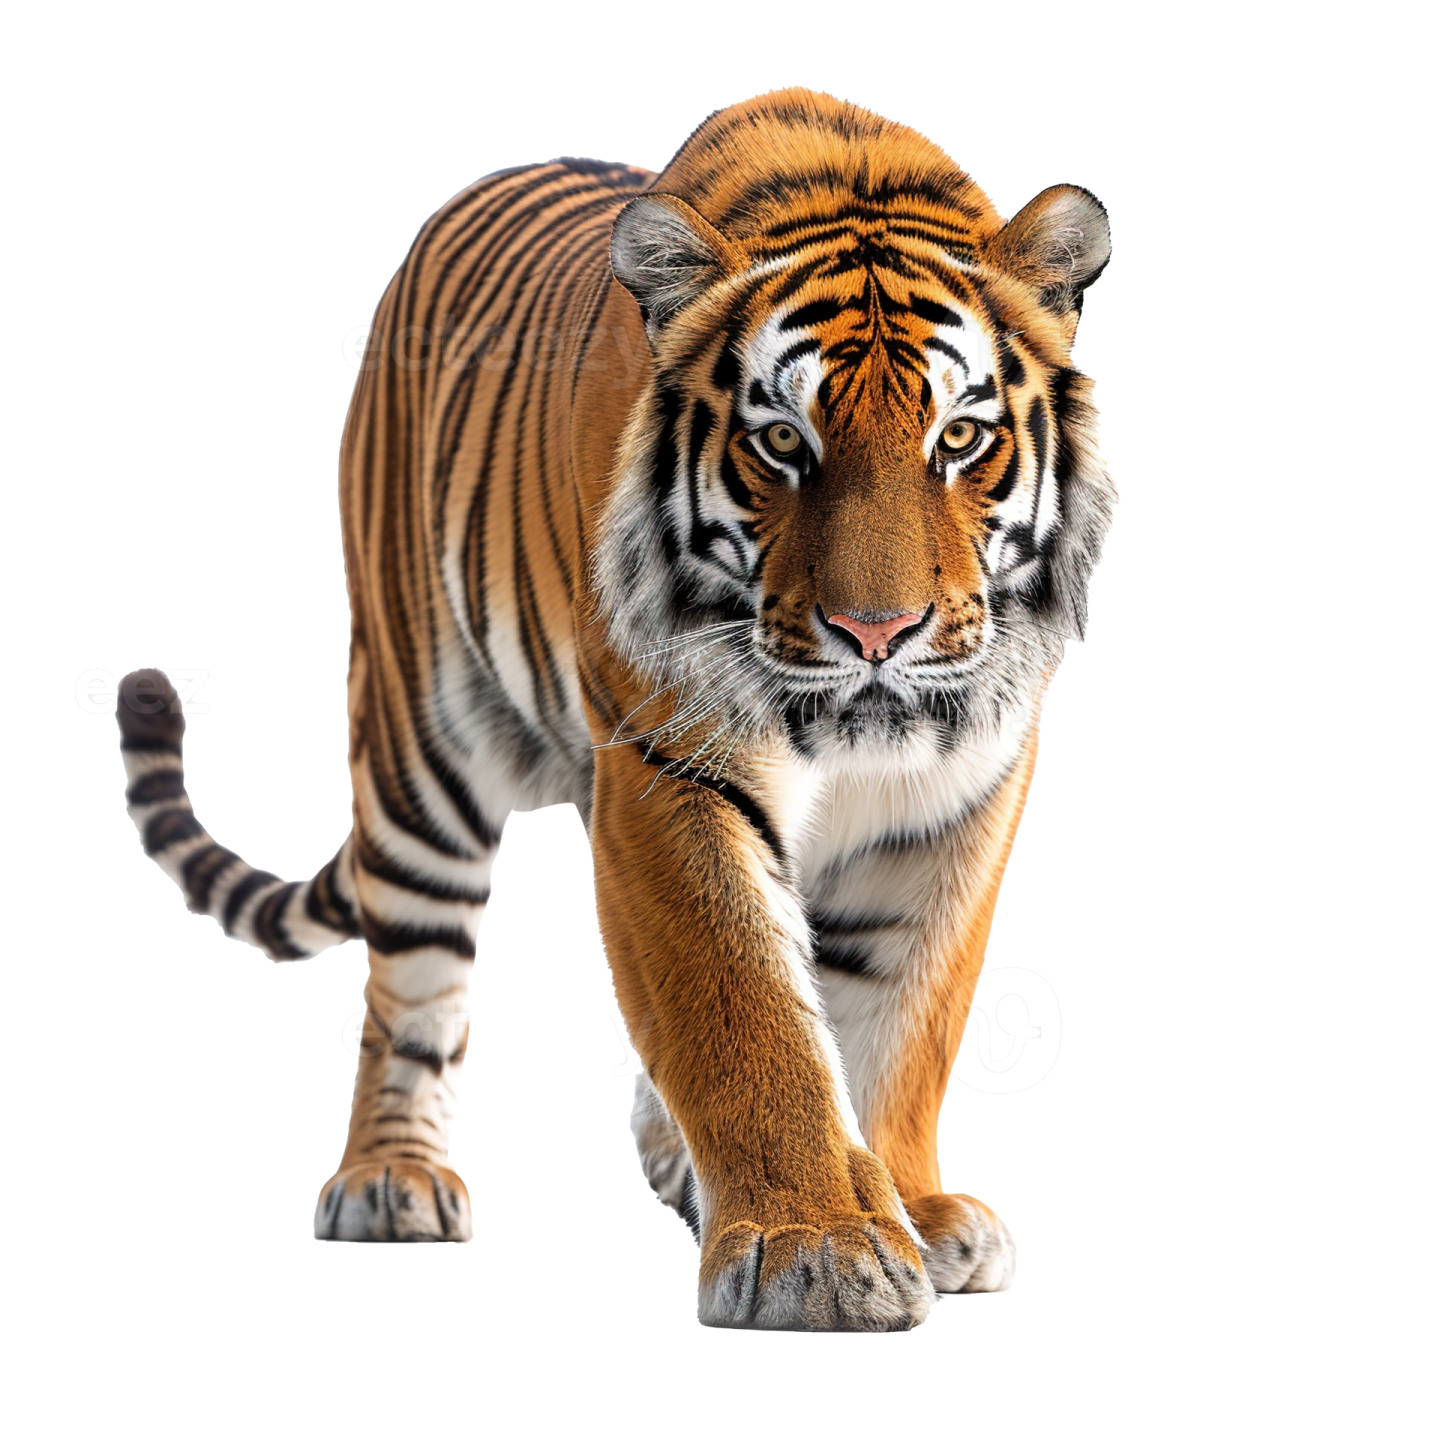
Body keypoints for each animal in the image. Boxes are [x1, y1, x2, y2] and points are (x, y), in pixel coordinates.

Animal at [115, 86, 1113, 1330]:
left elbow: (900, 1020)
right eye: (781, 442)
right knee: (413, 986)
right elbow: (745, 1011)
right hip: (419, 742)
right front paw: (816, 1249)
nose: (877, 633)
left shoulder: (963, 798)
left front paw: (912, 1213)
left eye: (961, 438)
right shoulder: (669, 769)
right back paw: (391, 1183)